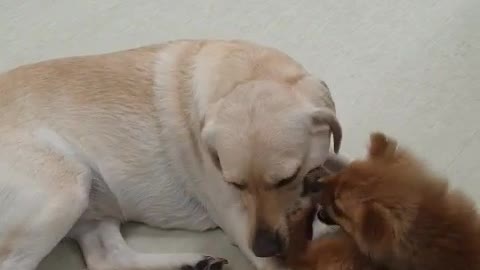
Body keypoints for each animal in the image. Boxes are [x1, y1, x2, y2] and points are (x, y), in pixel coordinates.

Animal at [0, 39, 342, 270]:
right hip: (65, 187)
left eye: (288, 178)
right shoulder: (235, 217)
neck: (248, 73)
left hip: (93, 207)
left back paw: (191, 262)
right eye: (234, 184)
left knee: (107, 258)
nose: (263, 247)